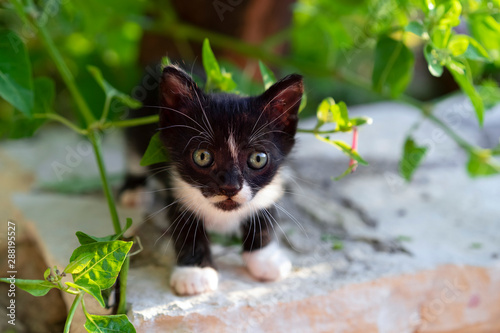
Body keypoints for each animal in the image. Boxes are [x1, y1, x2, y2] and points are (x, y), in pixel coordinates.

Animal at [125, 65, 304, 296]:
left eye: (258, 159)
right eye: (202, 156)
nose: (230, 187)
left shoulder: (270, 186)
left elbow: (263, 214)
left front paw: (265, 258)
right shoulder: (177, 187)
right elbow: (186, 227)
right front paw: (194, 272)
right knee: (133, 157)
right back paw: (133, 191)